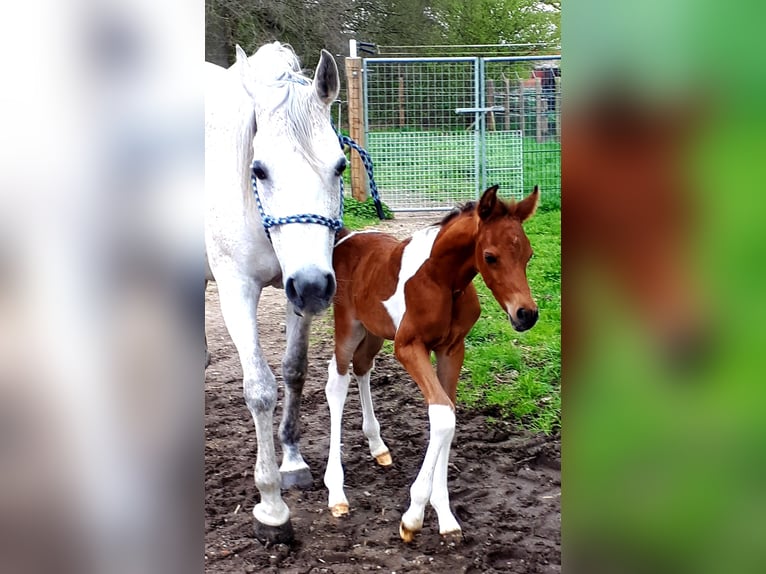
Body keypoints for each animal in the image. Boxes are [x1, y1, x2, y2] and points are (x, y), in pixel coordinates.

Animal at [206, 42, 346, 548]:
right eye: (259, 169)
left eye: (340, 165)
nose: (314, 286)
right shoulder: (236, 291)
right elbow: (260, 389)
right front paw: (270, 506)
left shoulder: (297, 290)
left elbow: (293, 370)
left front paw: (292, 461)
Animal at [324, 187, 540, 544]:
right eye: (490, 256)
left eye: (529, 255)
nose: (527, 315)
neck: (442, 280)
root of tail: (346, 237)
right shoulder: (408, 347)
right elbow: (441, 415)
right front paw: (413, 517)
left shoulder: (452, 349)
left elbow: (449, 413)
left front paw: (445, 516)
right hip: (349, 326)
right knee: (337, 382)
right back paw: (336, 493)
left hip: (374, 330)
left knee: (363, 366)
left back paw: (377, 446)